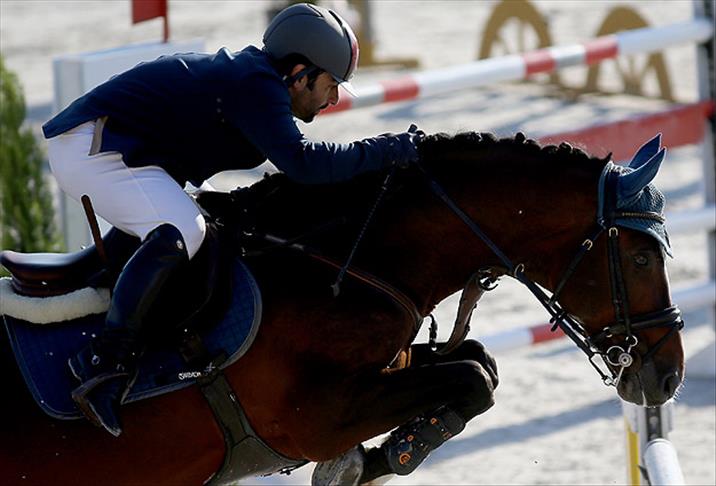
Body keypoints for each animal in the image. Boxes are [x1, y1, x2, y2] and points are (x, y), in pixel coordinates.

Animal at [0, 132, 684, 485]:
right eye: (641, 258)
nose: (666, 375)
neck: (341, 263)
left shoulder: (385, 371)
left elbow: (478, 367)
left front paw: (382, 454)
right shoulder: (312, 418)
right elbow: (469, 375)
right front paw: (385, 455)